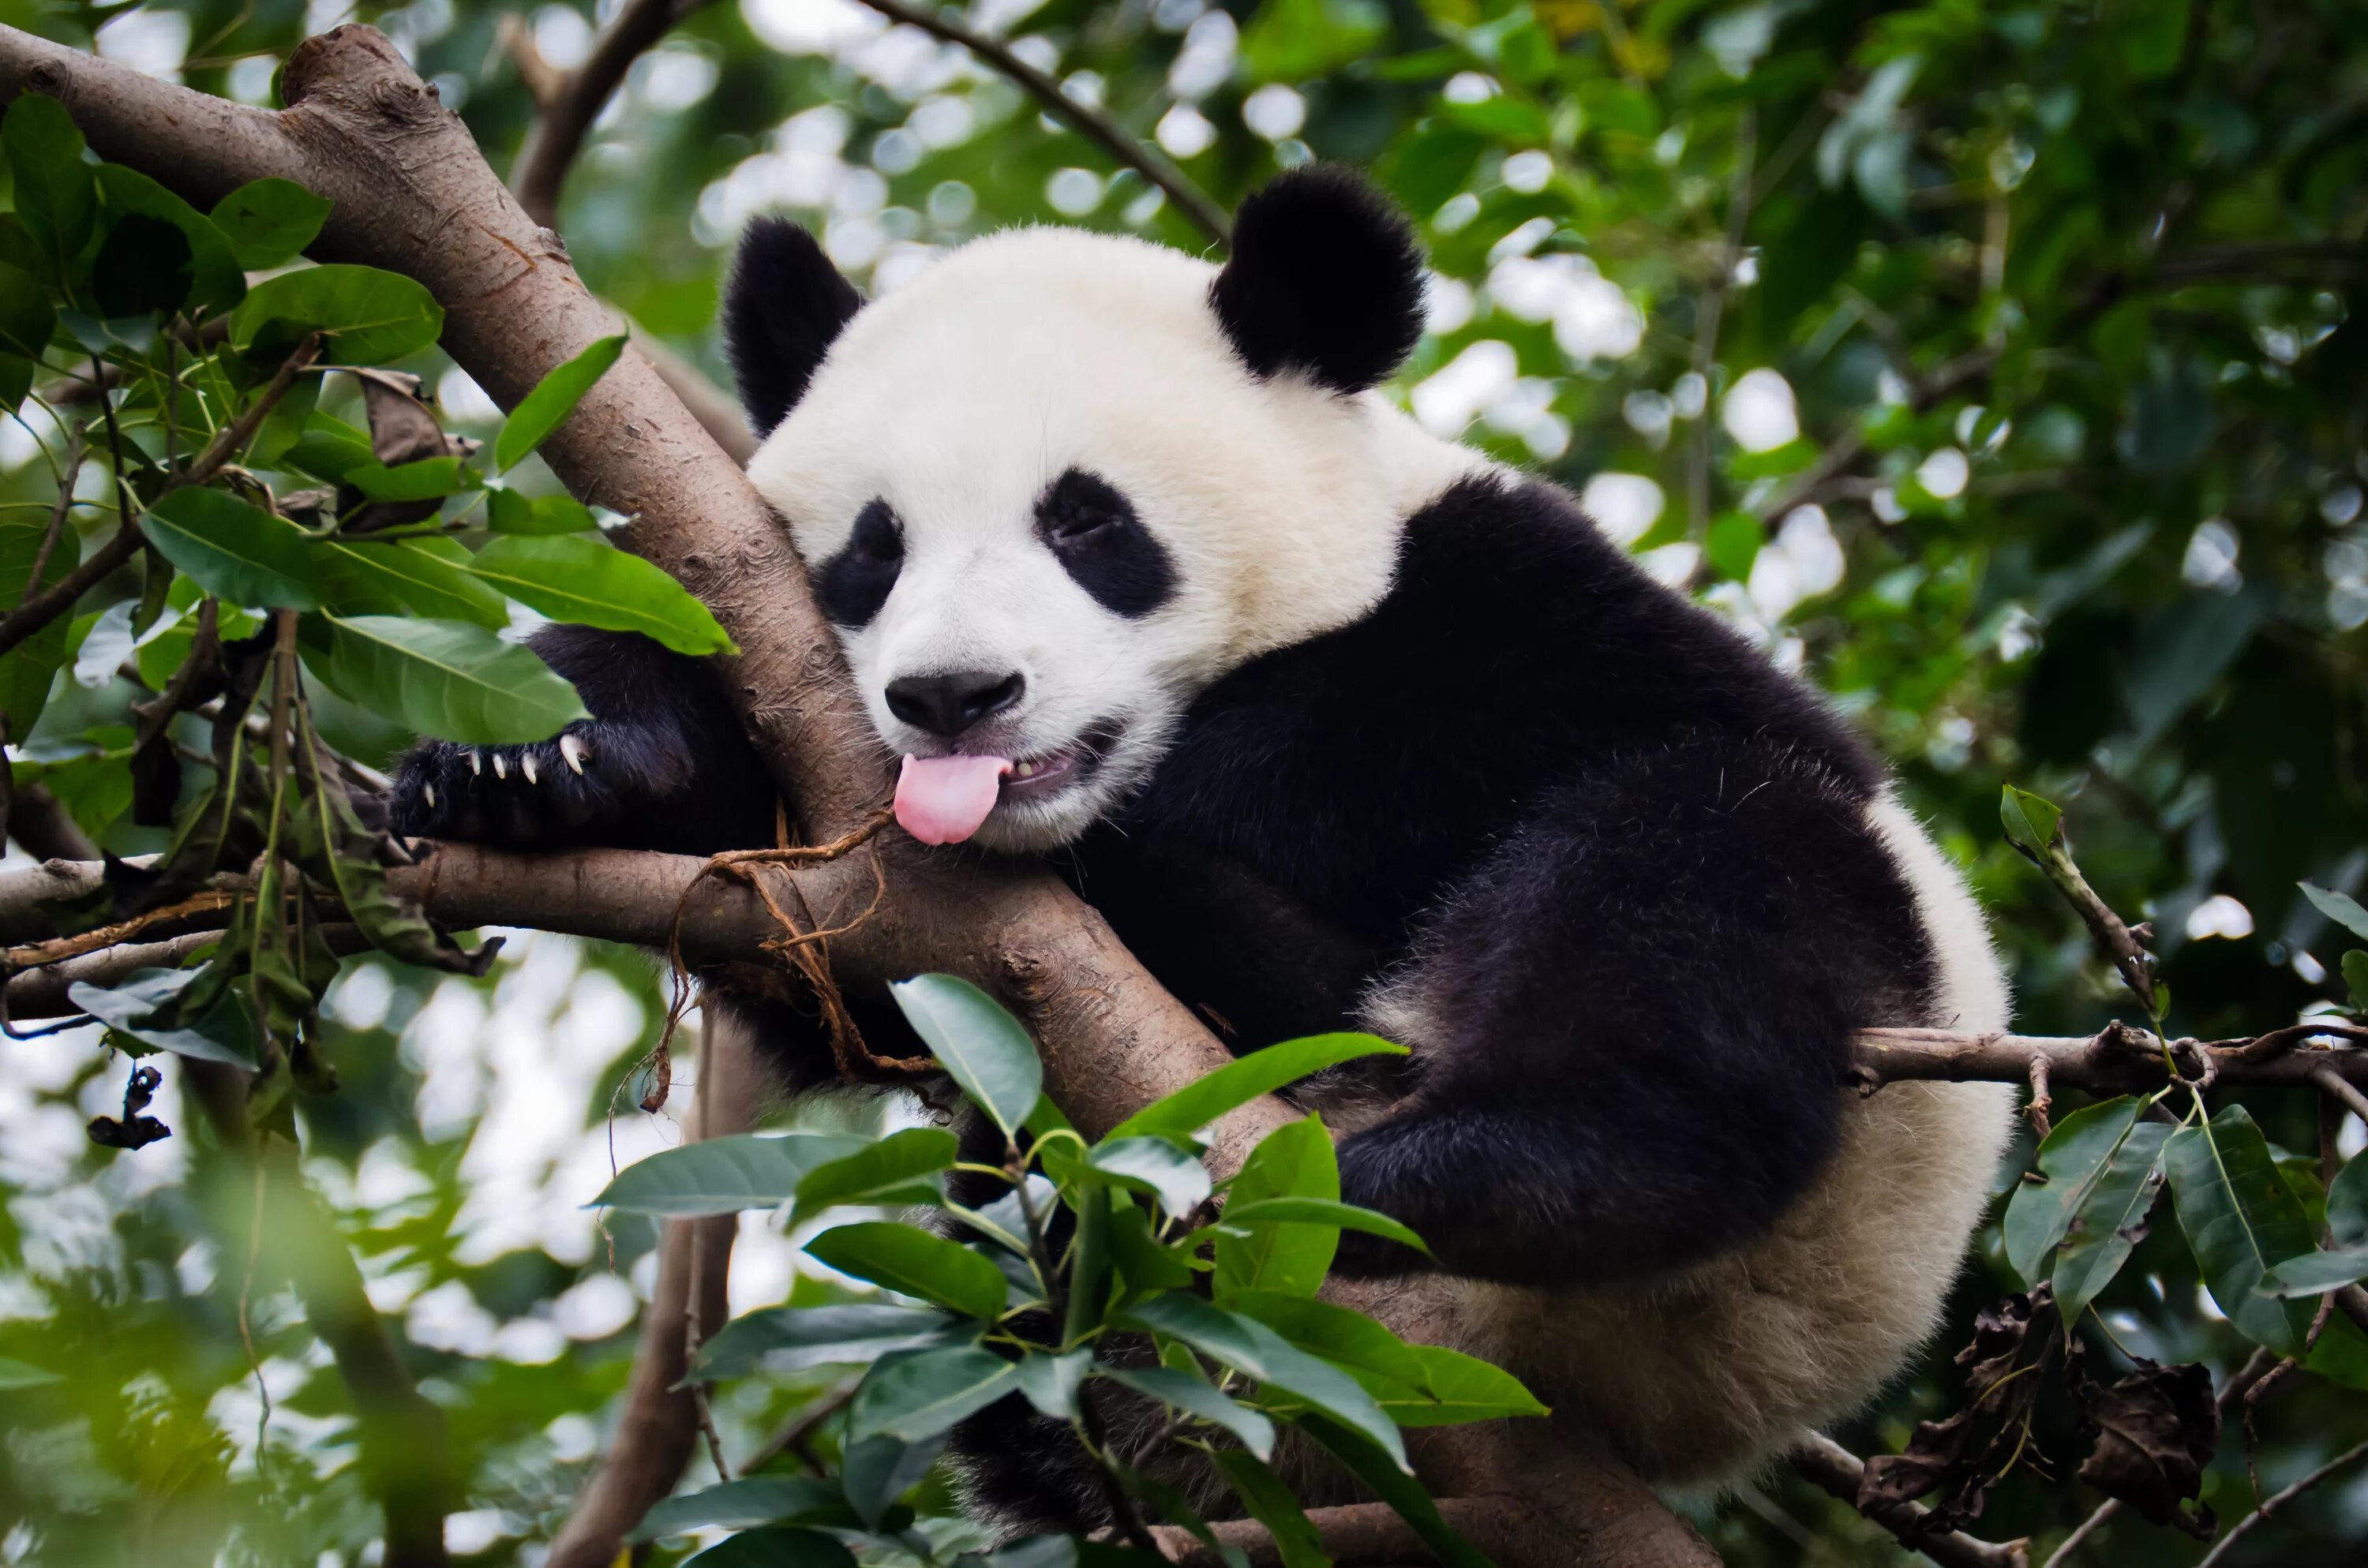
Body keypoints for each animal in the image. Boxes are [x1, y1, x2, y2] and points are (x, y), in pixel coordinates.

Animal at [393, 166, 2018, 1515]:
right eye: (873, 548)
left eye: (1088, 526)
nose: (957, 696)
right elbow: (832, 963)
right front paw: (534, 760)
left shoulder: (1516, 597)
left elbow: (1448, 716)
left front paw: (1196, 795)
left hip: (1842, 1179)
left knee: (1702, 865)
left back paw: (1480, 1165)